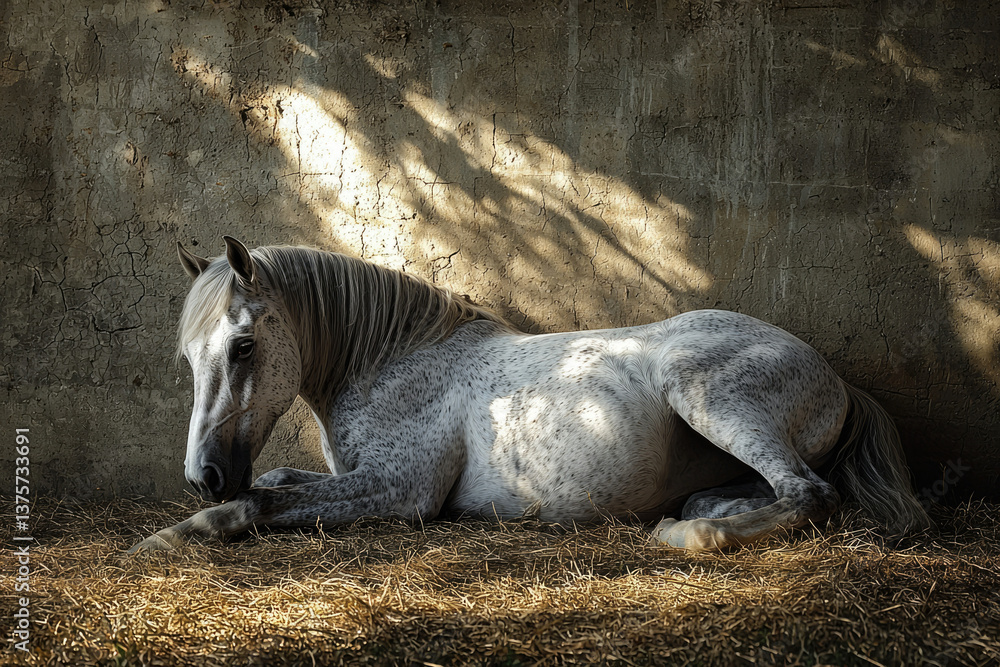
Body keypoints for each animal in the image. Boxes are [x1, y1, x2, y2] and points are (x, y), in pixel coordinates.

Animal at [129, 236, 930, 553]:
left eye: (242, 346)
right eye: (190, 355)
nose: (202, 475)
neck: (395, 363)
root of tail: (837, 376)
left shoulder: (400, 491)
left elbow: (259, 502)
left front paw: (169, 535)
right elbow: (274, 481)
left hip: (706, 393)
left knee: (810, 493)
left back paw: (691, 536)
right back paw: (708, 511)